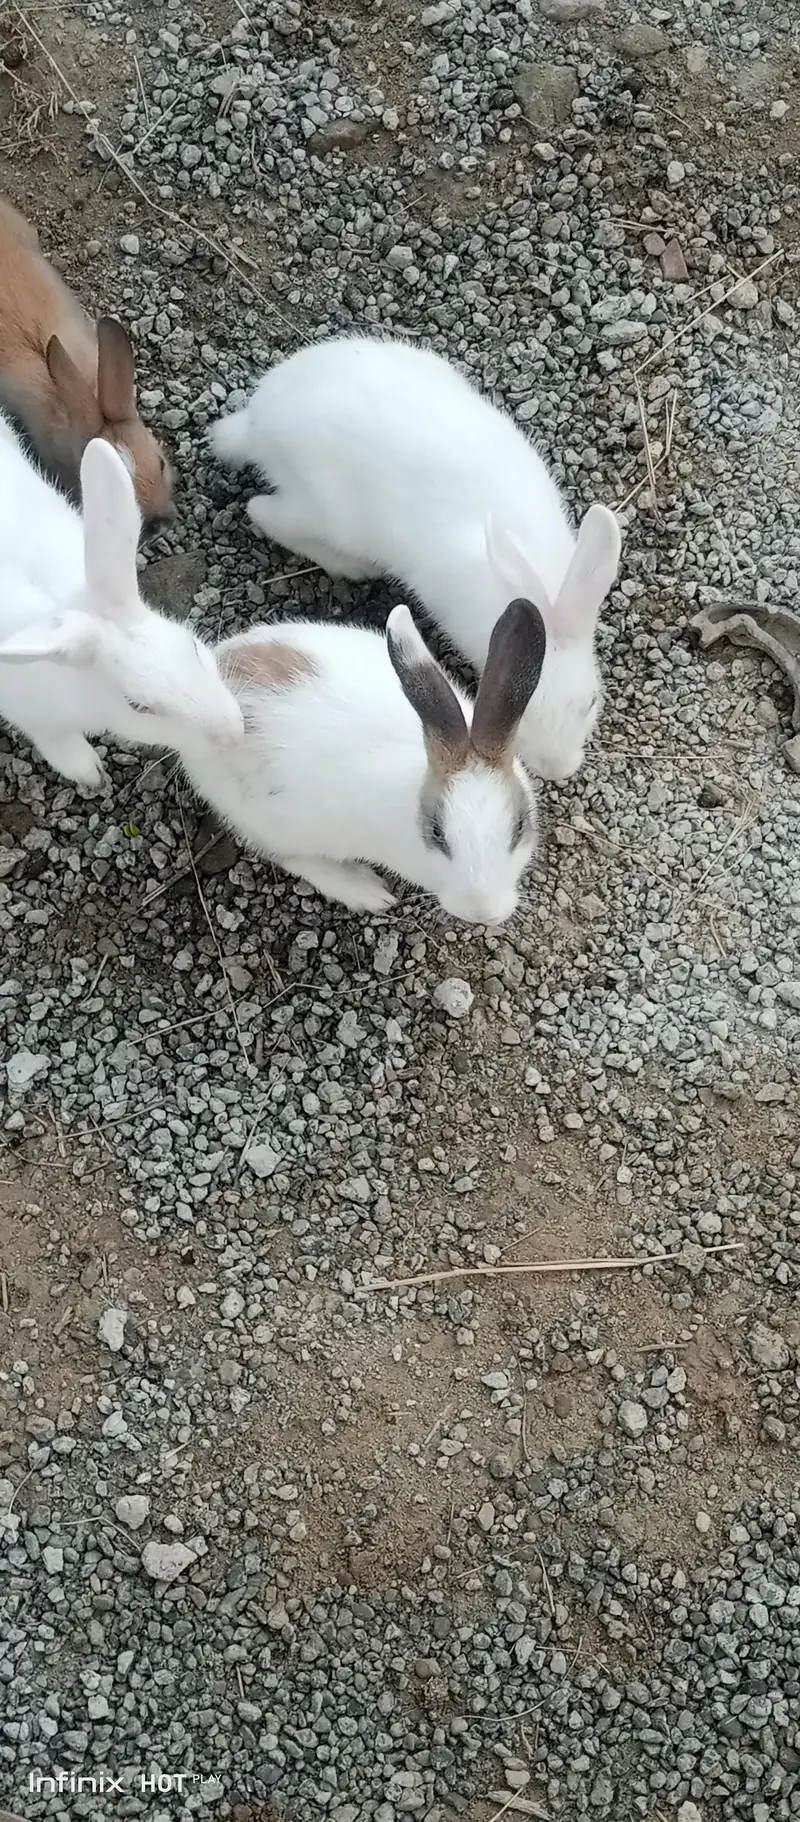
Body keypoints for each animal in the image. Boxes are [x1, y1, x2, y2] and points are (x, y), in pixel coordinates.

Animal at [0, 412, 243, 787]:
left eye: (190, 646)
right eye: (138, 706)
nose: (233, 734)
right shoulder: (32, 713)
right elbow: (56, 739)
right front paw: (89, 773)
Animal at [178, 594, 547, 923]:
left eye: (519, 827)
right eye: (437, 833)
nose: (482, 914)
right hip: (271, 824)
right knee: (287, 857)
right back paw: (364, 890)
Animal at [210, 334, 622, 781]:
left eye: (592, 701)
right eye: (523, 713)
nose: (557, 769)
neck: (541, 596)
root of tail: (256, 421)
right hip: (327, 513)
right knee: (263, 512)